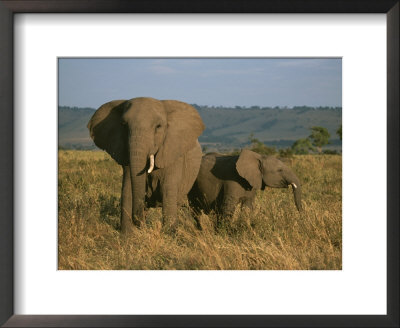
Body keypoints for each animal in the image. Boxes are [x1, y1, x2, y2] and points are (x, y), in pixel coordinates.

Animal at [88, 96, 205, 232]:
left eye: (158, 126)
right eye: (123, 125)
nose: (140, 223)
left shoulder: (173, 154)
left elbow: (168, 193)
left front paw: (169, 234)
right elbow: (127, 191)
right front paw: (128, 235)